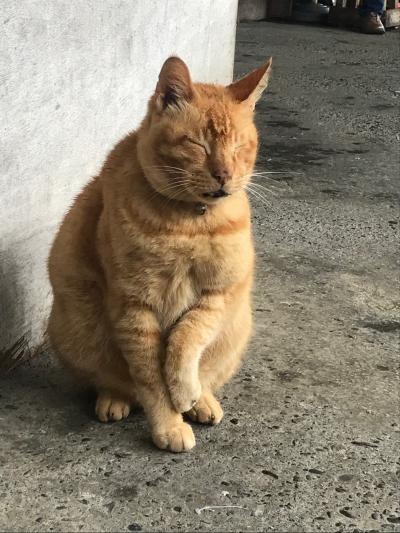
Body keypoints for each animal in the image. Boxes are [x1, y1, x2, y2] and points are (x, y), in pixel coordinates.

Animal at [47, 56, 272, 450]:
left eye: (239, 146)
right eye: (198, 144)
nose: (224, 174)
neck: (190, 224)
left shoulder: (218, 295)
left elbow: (186, 337)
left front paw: (185, 392)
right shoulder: (134, 308)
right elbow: (151, 379)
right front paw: (168, 425)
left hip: (236, 329)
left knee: (208, 372)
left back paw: (203, 400)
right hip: (78, 330)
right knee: (114, 381)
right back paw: (115, 399)